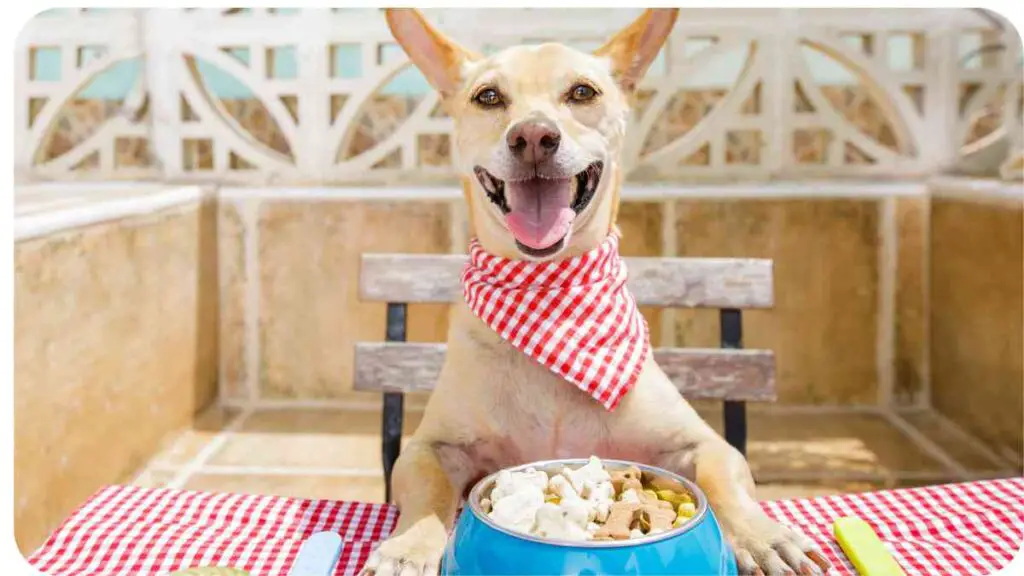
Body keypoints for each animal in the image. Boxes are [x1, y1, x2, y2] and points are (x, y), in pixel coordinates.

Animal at [360, 8, 831, 573]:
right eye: (488, 96)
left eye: (582, 92)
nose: (533, 136)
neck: (550, 301)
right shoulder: (429, 447)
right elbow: (428, 491)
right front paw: (409, 546)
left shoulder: (702, 443)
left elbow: (722, 477)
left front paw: (761, 535)